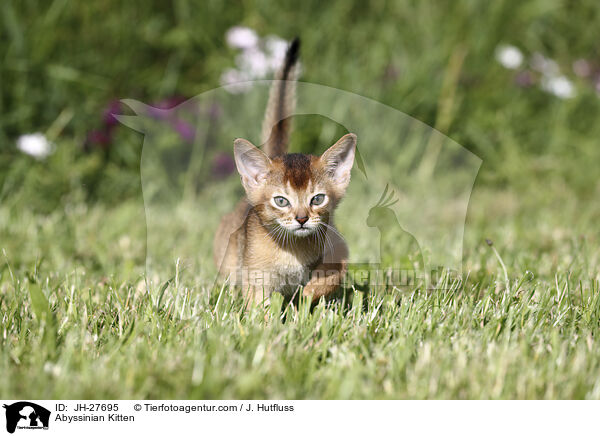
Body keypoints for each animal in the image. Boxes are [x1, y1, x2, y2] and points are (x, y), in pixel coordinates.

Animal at [213, 37, 356, 304]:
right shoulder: (257, 281)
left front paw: (311, 290)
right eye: (281, 201)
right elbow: (259, 309)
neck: (293, 250)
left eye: (317, 199)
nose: (301, 219)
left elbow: (333, 275)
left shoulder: (339, 250)